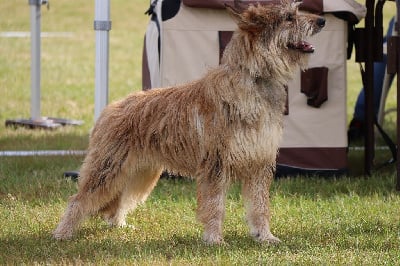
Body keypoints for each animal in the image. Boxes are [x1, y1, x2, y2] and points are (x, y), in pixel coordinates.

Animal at [54, 0, 324, 244]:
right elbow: (215, 206)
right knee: (78, 200)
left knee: (121, 200)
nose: (322, 21)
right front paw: (214, 239)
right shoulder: (216, 165)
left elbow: (260, 206)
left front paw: (265, 236)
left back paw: (119, 225)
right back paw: (62, 233)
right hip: (107, 170)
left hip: (140, 174)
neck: (254, 78)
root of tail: (110, 109)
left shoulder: (259, 163)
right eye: (289, 17)